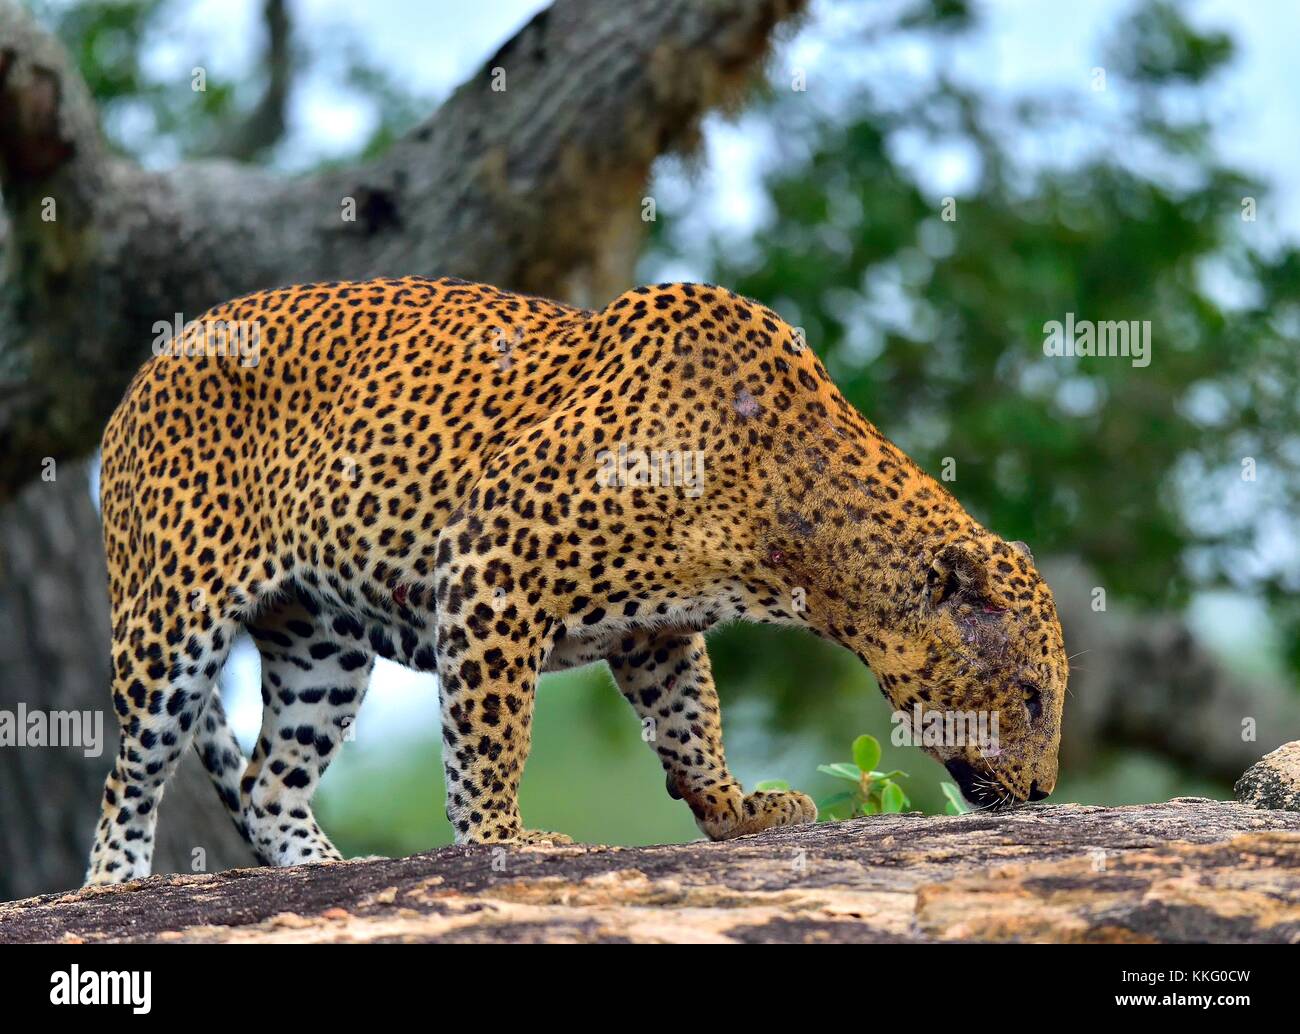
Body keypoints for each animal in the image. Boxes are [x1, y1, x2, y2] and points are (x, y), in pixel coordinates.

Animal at [86, 277, 1071, 889]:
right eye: (1030, 695)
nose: (1044, 795)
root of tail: (156, 360)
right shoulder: (493, 568)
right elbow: (492, 735)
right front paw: (502, 839)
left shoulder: (657, 629)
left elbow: (690, 723)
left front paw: (737, 809)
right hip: (170, 623)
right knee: (129, 780)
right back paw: (113, 890)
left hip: (323, 647)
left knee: (269, 781)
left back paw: (328, 871)